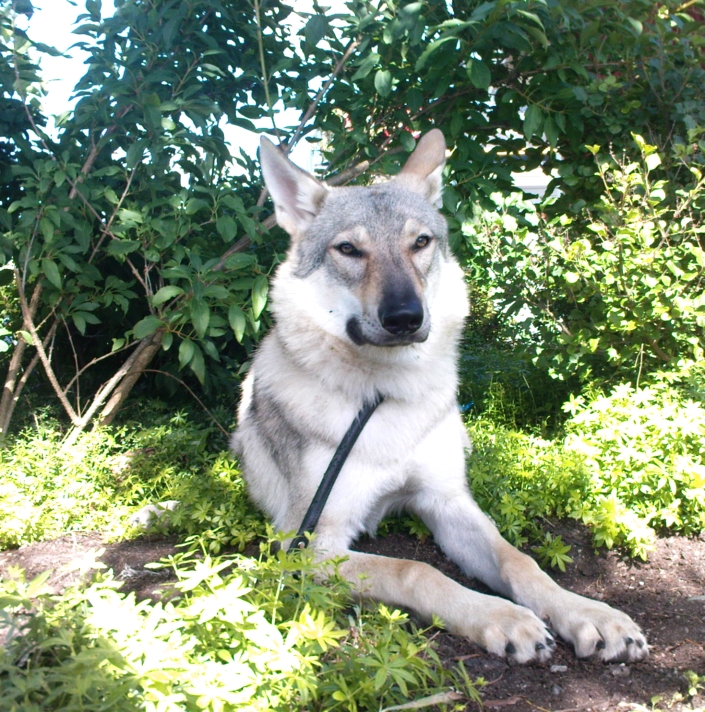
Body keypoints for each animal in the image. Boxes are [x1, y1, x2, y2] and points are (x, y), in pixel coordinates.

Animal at [228, 131, 648, 664]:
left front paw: (586, 612)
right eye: (349, 249)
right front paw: (502, 618)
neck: (385, 394)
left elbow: (520, 561)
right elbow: (417, 570)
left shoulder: (448, 502)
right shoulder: (310, 546)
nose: (405, 317)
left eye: (420, 243)